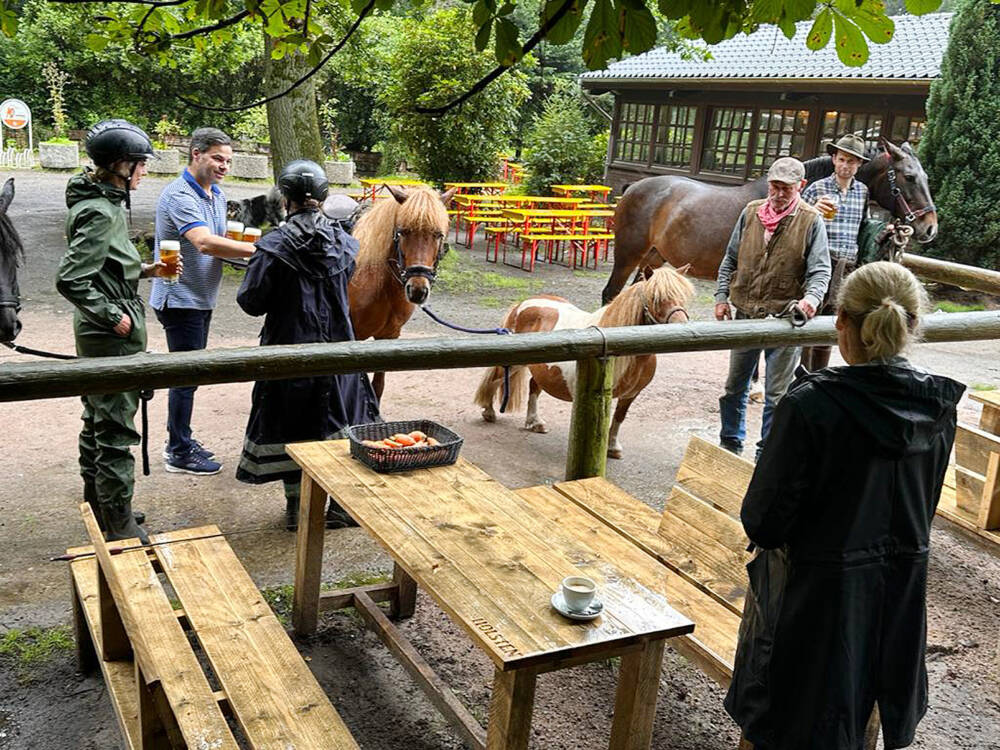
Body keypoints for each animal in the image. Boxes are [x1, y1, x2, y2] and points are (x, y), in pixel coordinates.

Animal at [474, 265, 695, 459]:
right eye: (656, 298)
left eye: (683, 297)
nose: (682, 326)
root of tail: (524, 303)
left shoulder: (631, 395)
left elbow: (619, 418)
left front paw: (613, 448)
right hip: (515, 362)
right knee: (495, 379)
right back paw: (489, 412)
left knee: (533, 387)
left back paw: (535, 422)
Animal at [601, 138, 937, 303]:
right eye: (909, 177)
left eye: (926, 176)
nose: (929, 227)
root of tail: (635, 187)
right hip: (628, 255)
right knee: (610, 294)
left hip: (653, 259)